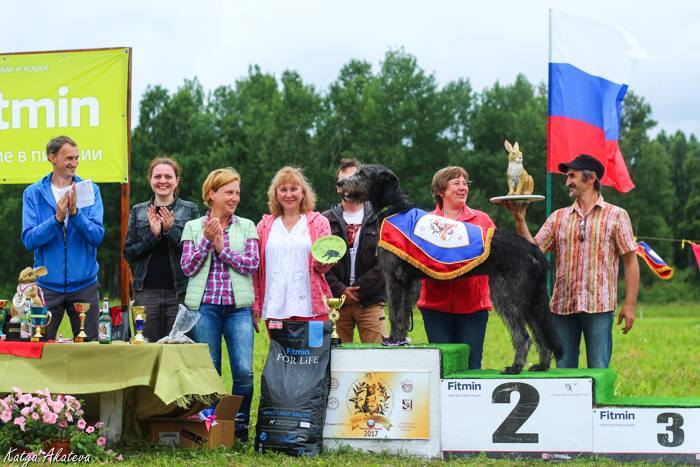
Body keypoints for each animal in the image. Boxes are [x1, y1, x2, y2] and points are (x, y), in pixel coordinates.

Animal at [338, 163, 564, 374]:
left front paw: (392, 340)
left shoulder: (393, 276)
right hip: (530, 299)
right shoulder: (408, 281)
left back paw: (515, 367)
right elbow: (403, 313)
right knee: (540, 331)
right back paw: (542, 365)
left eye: (362, 174)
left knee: (524, 336)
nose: (340, 183)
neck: (395, 210)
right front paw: (401, 338)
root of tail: (533, 249)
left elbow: (395, 312)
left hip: (507, 294)